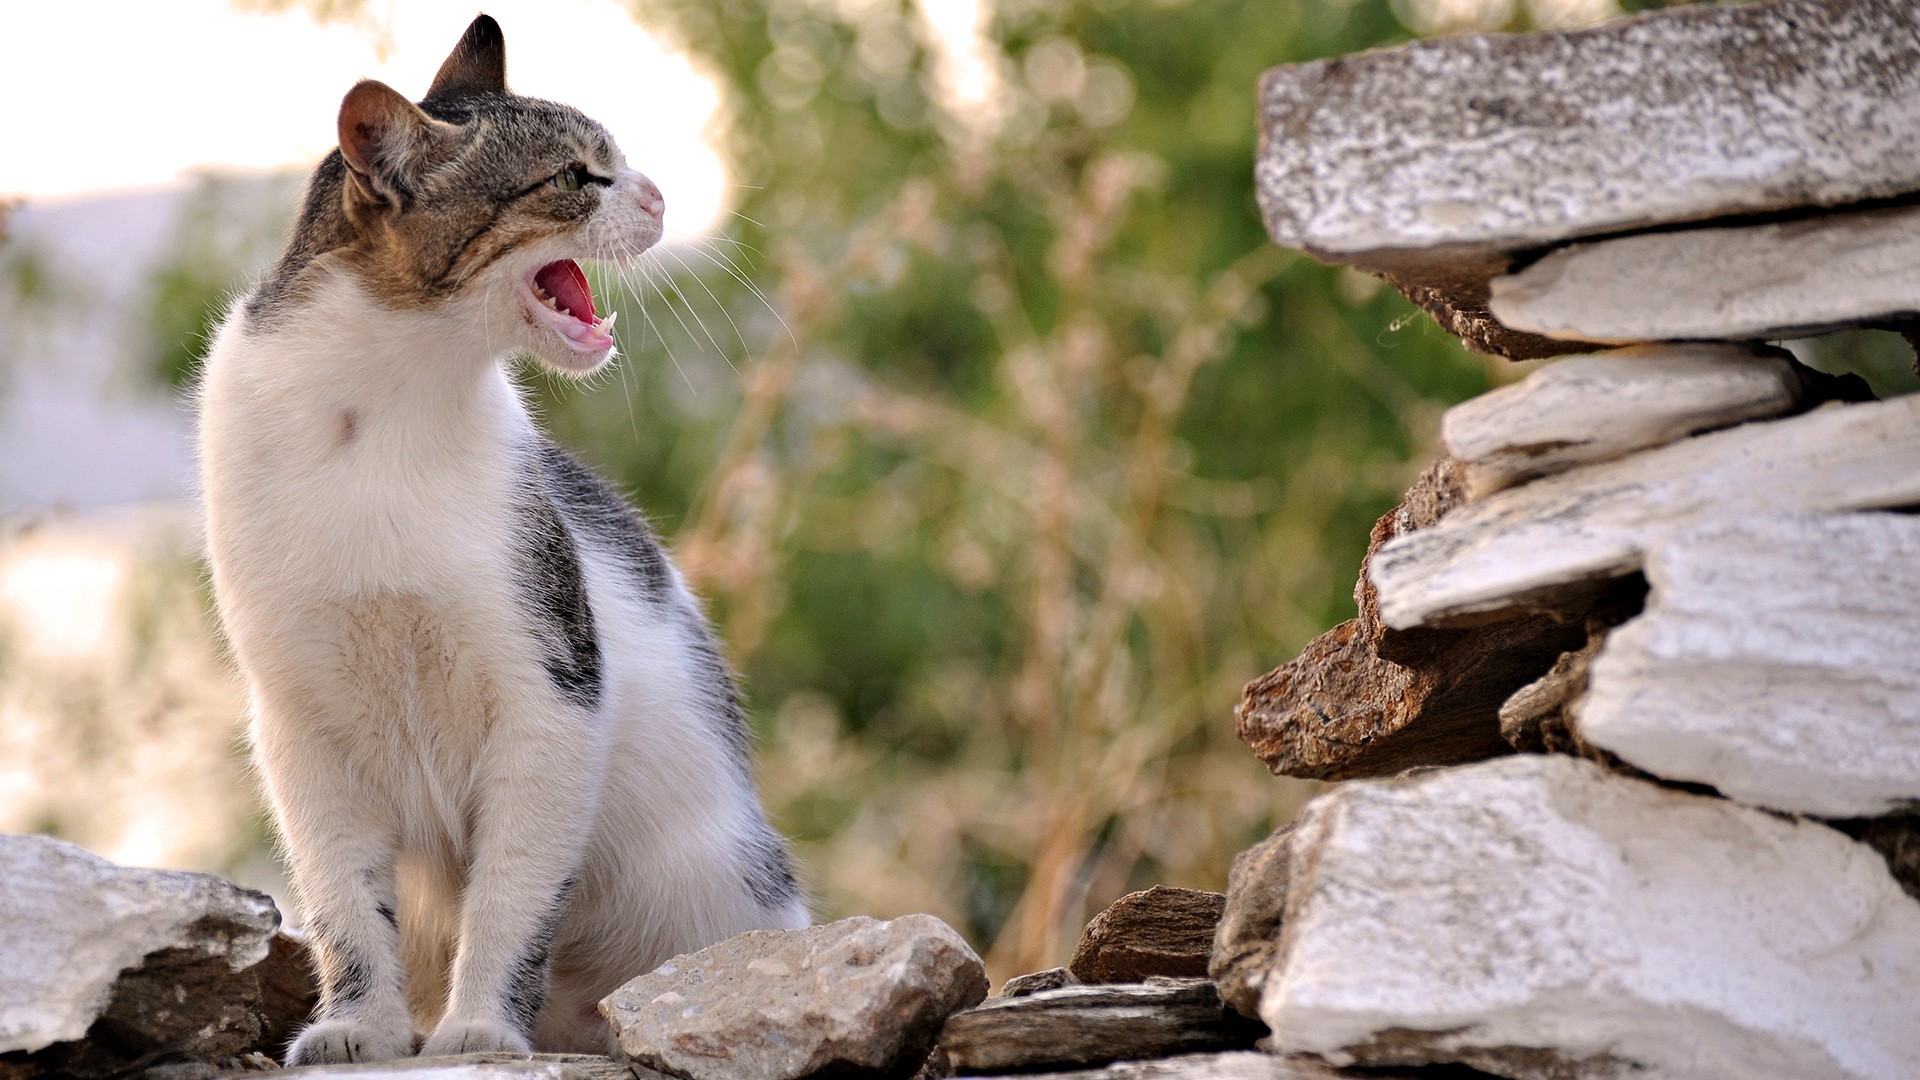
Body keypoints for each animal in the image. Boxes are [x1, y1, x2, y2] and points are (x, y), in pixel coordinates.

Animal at [189, 14, 802, 1060]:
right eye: (578, 175)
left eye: (616, 160)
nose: (660, 193)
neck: (387, 406)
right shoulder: (299, 723)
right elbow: (346, 900)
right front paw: (359, 1025)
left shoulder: (552, 693)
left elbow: (512, 896)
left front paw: (477, 1028)